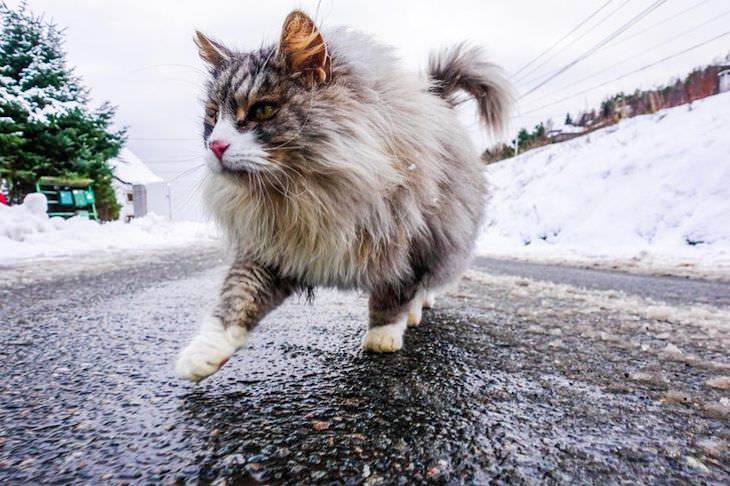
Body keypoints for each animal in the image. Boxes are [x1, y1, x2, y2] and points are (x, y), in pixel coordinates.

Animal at [174, 9, 510, 382]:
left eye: (262, 110)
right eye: (212, 116)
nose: (216, 145)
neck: (305, 194)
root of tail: (434, 98)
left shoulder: (407, 240)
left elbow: (393, 295)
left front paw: (382, 337)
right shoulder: (273, 249)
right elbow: (237, 296)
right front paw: (201, 355)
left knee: (425, 287)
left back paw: (415, 313)